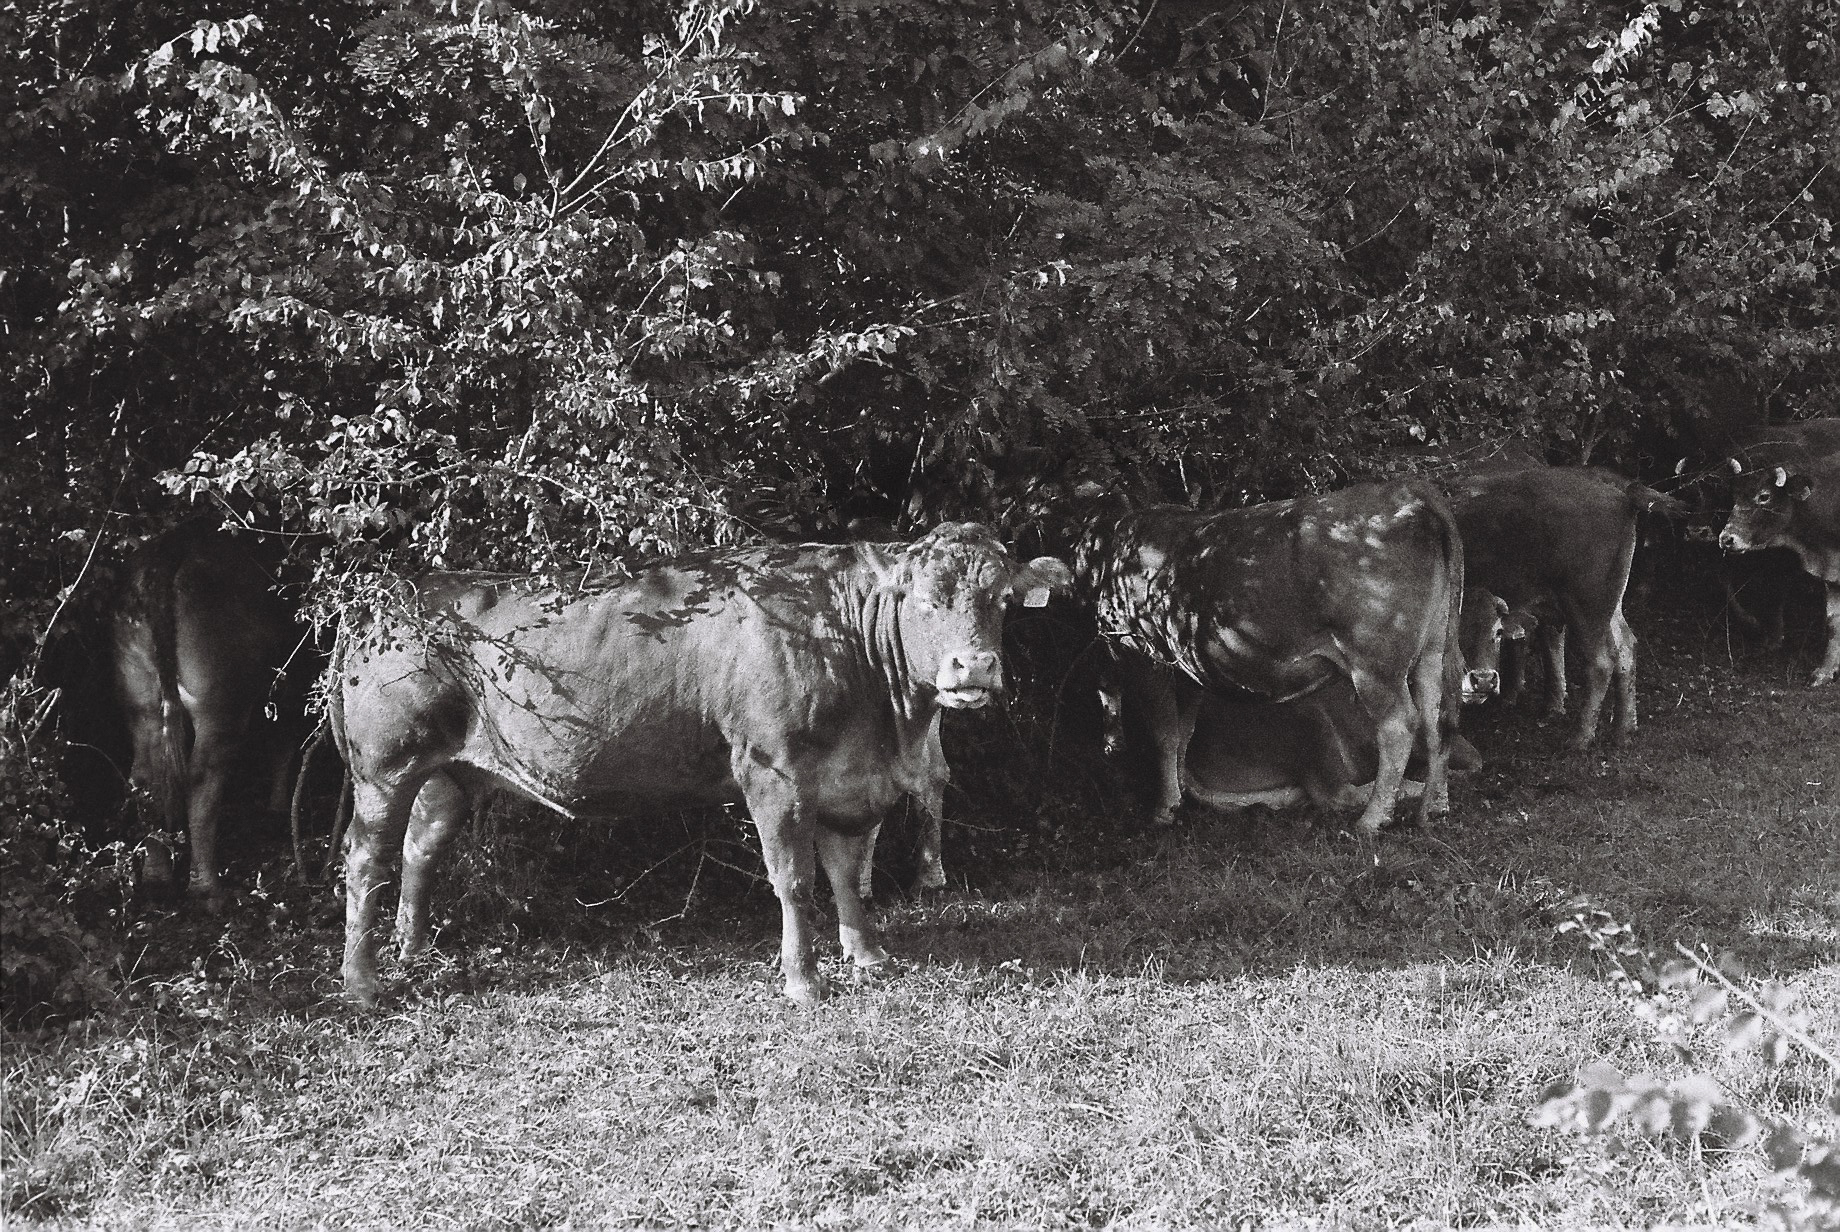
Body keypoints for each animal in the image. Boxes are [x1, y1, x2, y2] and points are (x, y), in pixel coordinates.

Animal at [110, 521, 300, 905]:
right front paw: (276, 809)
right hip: (220, 705)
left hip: (141, 698)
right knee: (202, 778)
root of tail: (170, 553)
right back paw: (207, 888)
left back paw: (156, 877)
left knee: (146, 776)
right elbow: (284, 744)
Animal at [328, 523, 1071, 1007]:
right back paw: (362, 985)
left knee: (422, 848)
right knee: (367, 859)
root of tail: (390, 597)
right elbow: (795, 879)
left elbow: (847, 874)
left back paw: (413, 952)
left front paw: (867, 957)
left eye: (1002, 599)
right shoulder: (772, 770)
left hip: (450, 772)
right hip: (384, 765)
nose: (973, 668)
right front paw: (802, 981)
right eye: (921, 597)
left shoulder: (853, 783)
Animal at [1070, 481, 1465, 838]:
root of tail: (1409, 490)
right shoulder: (1187, 665)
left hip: (1374, 661)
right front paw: (1181, 795)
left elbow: (1164, 733)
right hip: (1434, 644)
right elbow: (1184, 732)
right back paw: (1436, 808)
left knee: (1399, 726)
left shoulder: (1142, 651)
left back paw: (1372, 821)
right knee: (1438, 716)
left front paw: (1164, 809)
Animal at [1440, 466, 1682, 749]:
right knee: (1626, 647)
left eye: (1497, 632)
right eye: (1458, 632)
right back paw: (1623, 732)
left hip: (1585, 606)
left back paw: (1579, 739)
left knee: (1601, 661)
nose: (1484, 681)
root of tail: (1622, 494)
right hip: (1609, 604)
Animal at [1718, 449, 1840, 686]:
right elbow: (1833, 624)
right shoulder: (1833, 578)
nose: (1726, 539)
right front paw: (1824, 672)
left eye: (1764, 496)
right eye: (1735, 495)